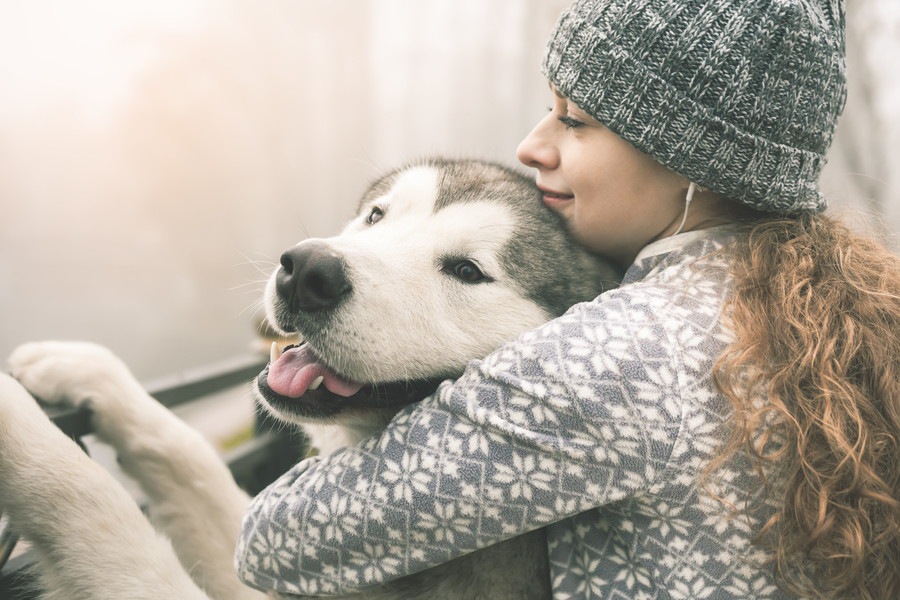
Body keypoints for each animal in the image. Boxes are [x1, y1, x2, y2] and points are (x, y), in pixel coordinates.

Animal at [0, 159, 620, 600]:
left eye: (467, 271)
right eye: (377, 216)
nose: (306, 270)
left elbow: (104, 516)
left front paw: (18, 425)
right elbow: (187, 453)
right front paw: (82, 367)